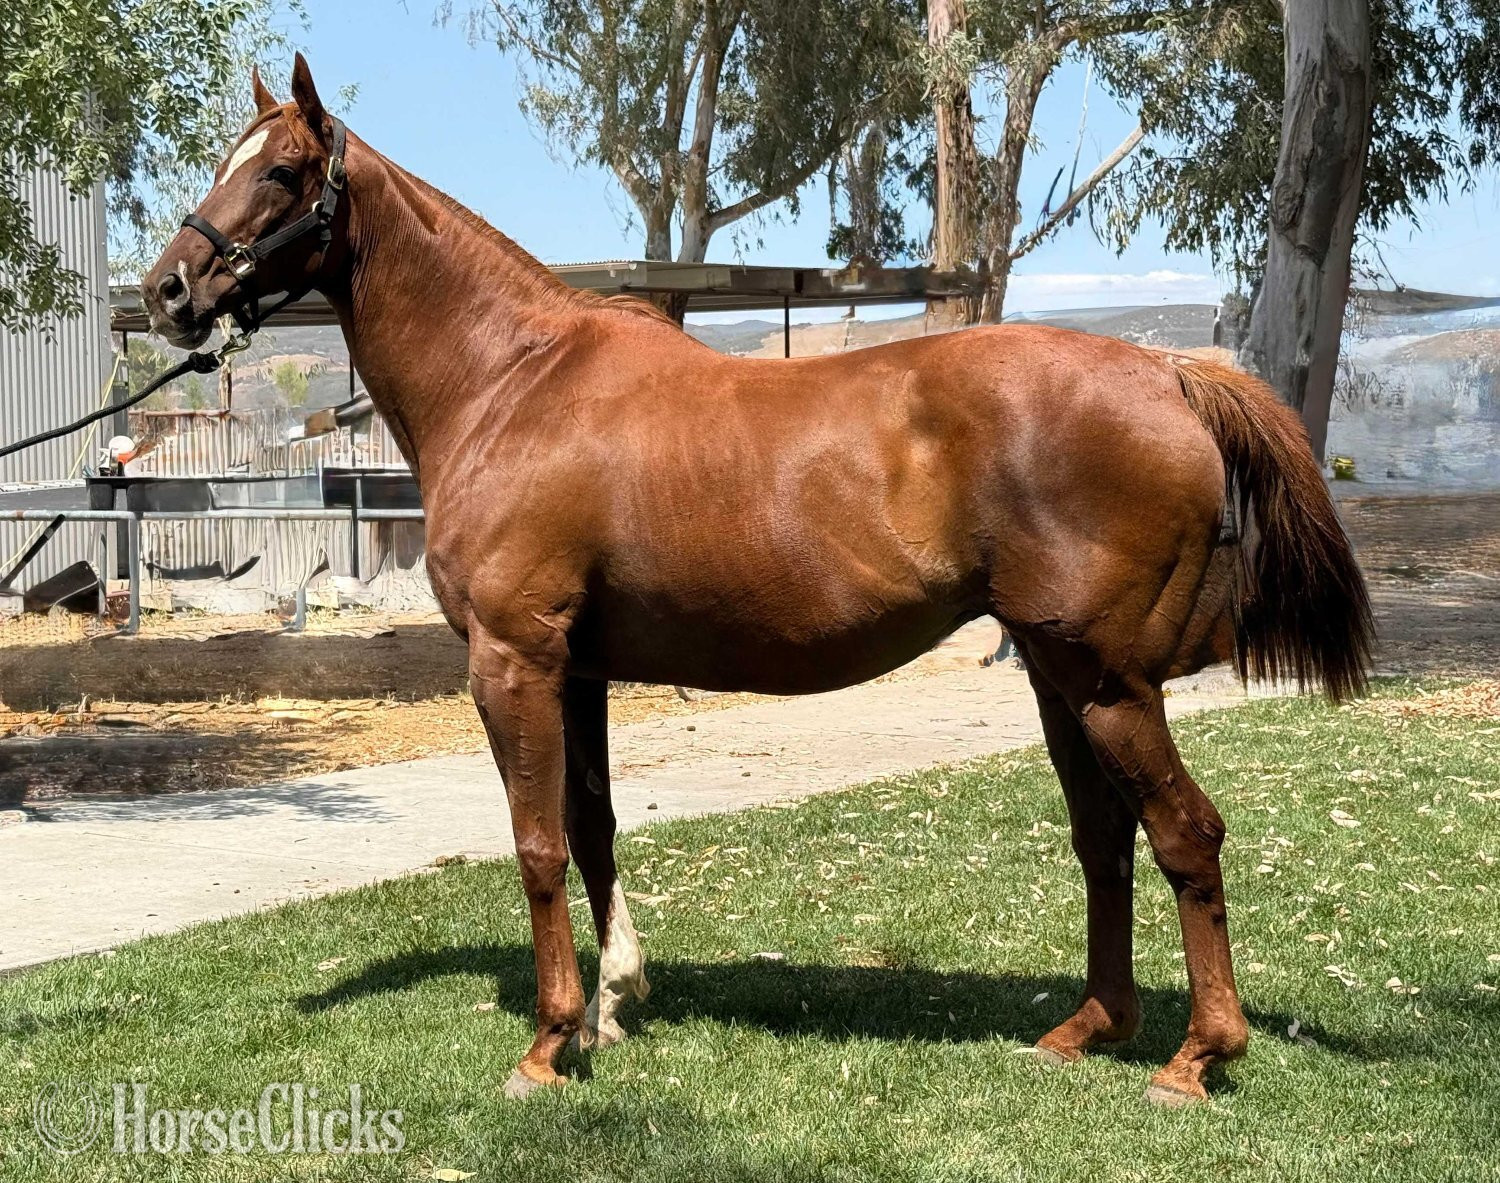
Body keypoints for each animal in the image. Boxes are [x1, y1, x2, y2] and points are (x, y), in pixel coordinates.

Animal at [142, 56, 1372, 1108]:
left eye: (283, 171)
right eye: (231, 159)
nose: (166, 290)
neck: (511, 382)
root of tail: (1167, 369)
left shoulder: (513, 659)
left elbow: (537, 844)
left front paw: (549, 1042)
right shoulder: (579, 667)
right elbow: (592, 825)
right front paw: (615, 1004)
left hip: (1109, 681)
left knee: (1185, 835)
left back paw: (1196, 1058)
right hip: (1060, 674)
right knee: (1103, 839)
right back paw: (1084, 1030)